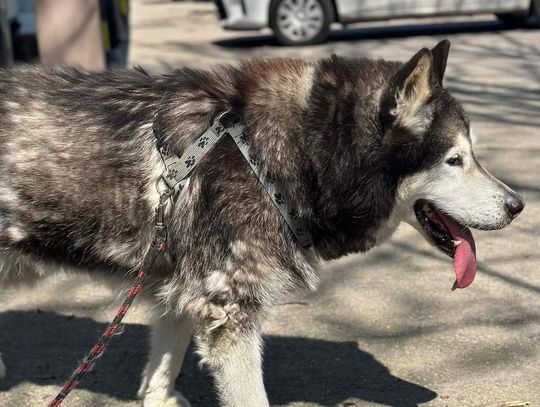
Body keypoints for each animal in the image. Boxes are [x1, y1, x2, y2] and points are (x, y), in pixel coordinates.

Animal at [0, 39, 524, 407]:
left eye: (471, 156)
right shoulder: (231, 316)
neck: (283, 154)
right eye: (455, 160)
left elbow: (163, 369)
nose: (517, 205)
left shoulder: (181, 296)